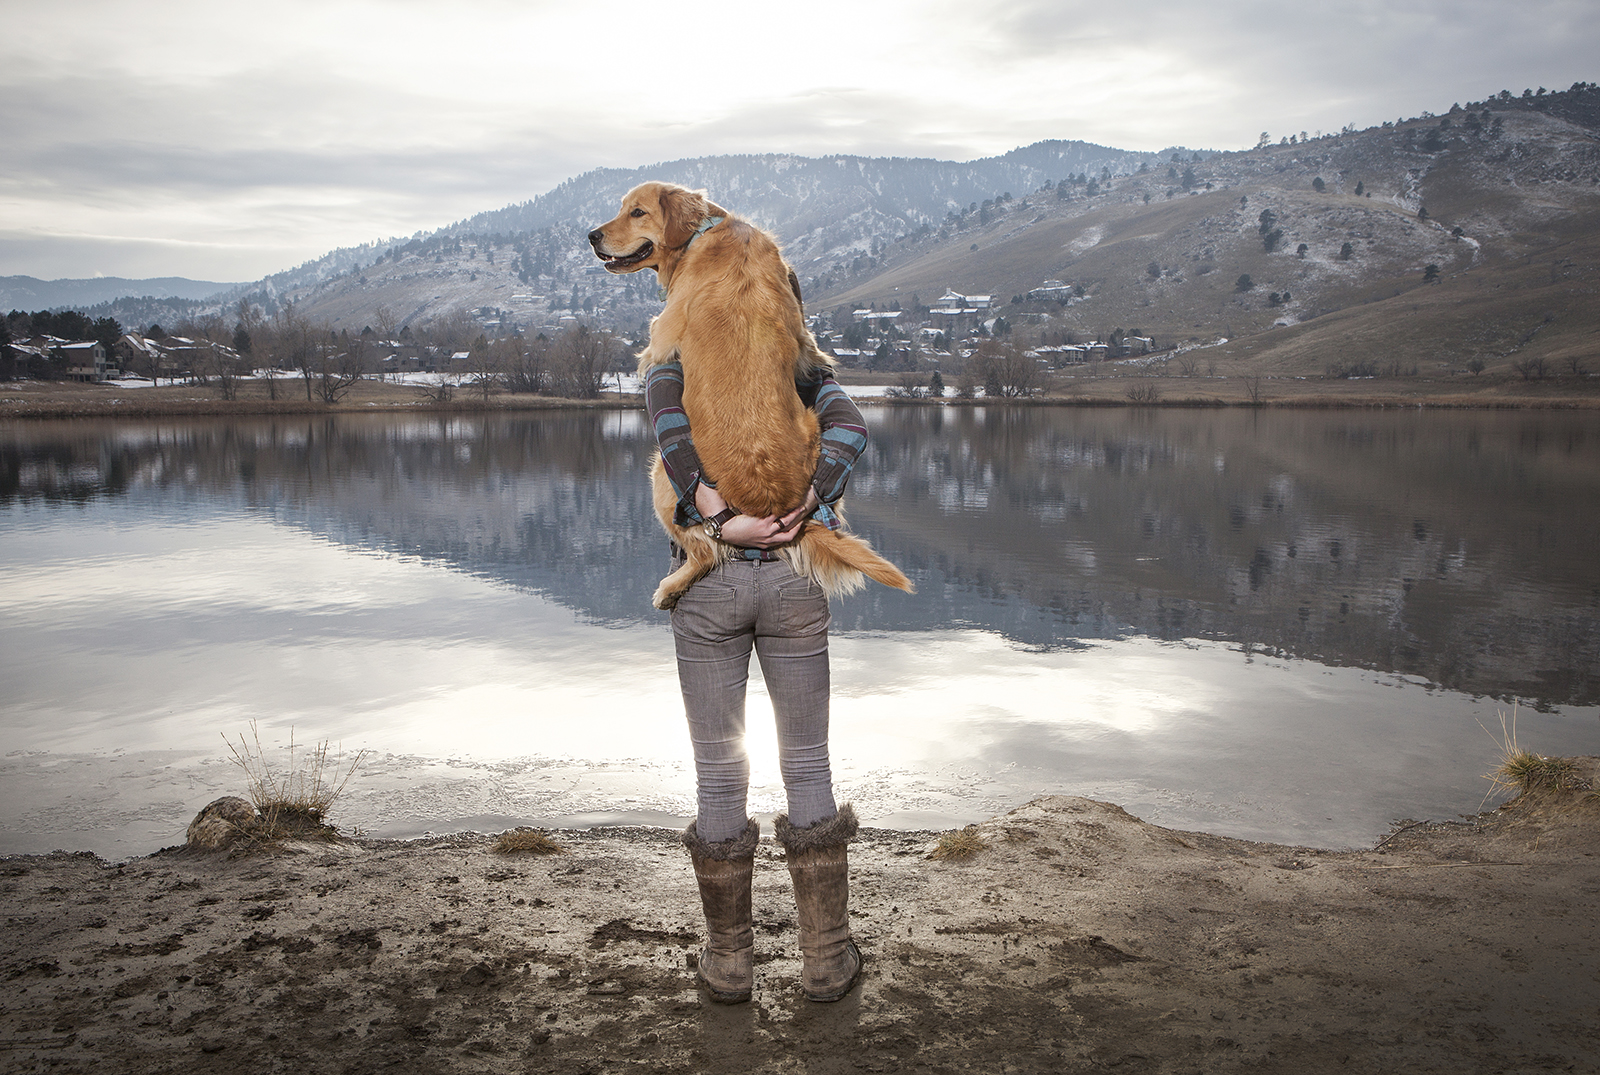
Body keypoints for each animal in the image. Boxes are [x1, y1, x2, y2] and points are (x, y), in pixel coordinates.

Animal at [588, 180, 915, 607]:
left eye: (637, 212)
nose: (591, 236)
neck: (704, 232)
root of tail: (773, 502)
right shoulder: (804, 338)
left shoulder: (662, 336)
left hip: (660, 471)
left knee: (707, 551)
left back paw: (670, 589)